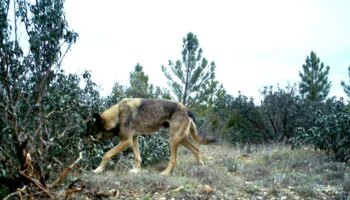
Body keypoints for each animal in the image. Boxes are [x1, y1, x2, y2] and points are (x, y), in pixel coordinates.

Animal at [85, 98, 216, 175]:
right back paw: (200, 167)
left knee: (173, 159)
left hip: (173, 139)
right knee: (196, 149)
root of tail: (187, 110)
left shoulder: (126, 141)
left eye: (90, 131)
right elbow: (137, 157)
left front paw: (99, 169)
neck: (117, 113)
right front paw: (137, 170)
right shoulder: (134, 139)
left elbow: (106, 154)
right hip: (181, 139)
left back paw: (165, 173)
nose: (84, 143)